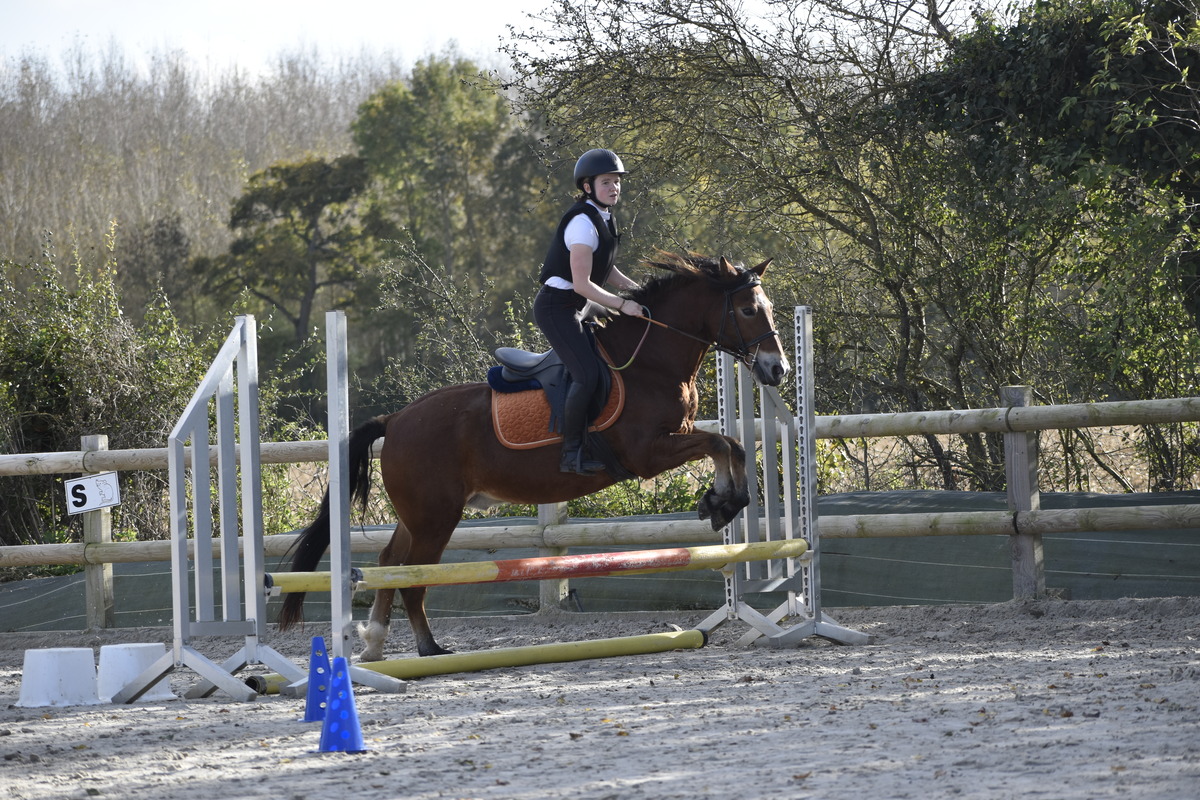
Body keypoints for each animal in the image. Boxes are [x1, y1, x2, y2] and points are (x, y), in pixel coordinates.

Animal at [276, 253, 792, 662]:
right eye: (748, 309)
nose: (778, 370)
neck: (650, 362)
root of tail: (397, 419)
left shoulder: (678, 435)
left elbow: (731, 445)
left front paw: (720, 501)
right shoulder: (648, 452)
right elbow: (722, 445)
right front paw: (722, 503)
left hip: (418, 515)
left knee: (391, 563)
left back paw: (375, 644)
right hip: (435, 518)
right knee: (414, 578)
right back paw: (428, 648)